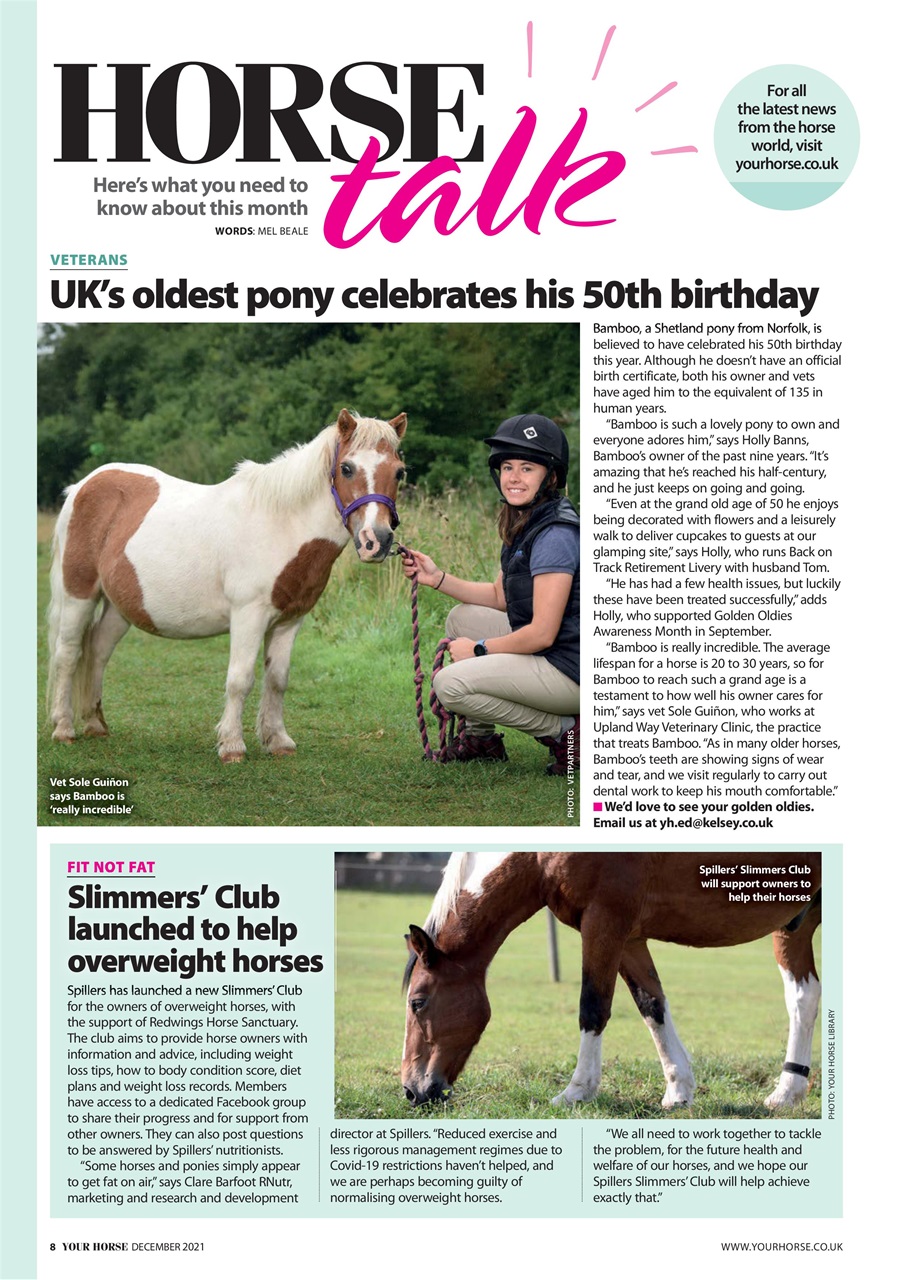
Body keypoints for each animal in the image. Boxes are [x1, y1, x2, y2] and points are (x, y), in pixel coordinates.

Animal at [47, 409, 406, 761]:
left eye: (399, 472)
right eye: (346, 468)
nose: (376, 540)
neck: (282, 524)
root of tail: (83, 486)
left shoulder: (290, 620)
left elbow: (277, 679)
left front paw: (278, 741)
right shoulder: (249, 615)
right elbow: (240, 679)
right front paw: (232, 745)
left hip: (119, 606)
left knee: (98, 650)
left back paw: (95, 724)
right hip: (78, 593)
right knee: (68, 654)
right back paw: (64, 728)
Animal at [402, 850, 822, 1111]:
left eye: (417, 1002)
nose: (411, 1090)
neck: (539, 858)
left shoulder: (604, 922)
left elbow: (593, 1008)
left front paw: (577, 1091)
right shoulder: (629, 939)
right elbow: (652, 1005)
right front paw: (678, 1089)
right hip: (795, 924)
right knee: (804, 997)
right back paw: (788, 1091)